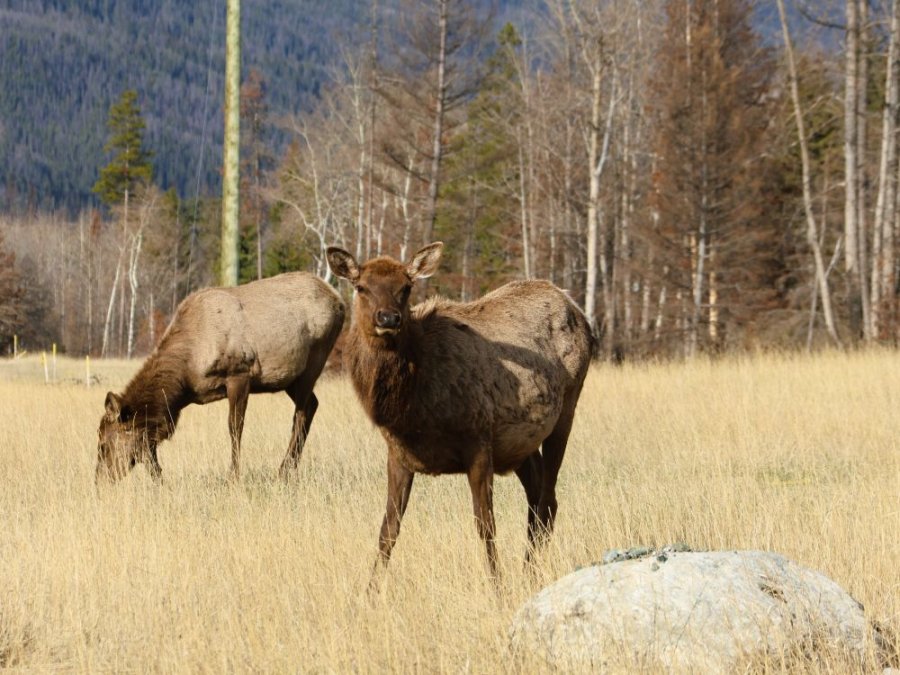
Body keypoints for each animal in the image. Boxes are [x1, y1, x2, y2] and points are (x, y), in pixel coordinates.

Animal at [95, 272, 345, 484]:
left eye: (103, 445)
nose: (99, 482)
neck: (185, 379)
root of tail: (340, 301)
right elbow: (150, 448)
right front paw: (160, 480)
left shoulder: (239, 373)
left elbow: (235, 429)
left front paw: (233, 477)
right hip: (290, 378)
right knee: (312, 404)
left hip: (314, 360)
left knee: (300, 414)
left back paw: (284, 470)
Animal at [326, 242, 593, 580]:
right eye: (361, 286)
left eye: (406, 287)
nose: (388, 318)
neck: (411, 411)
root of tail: (577, 309)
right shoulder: (398, 454)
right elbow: (388, 529)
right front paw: (370, 589)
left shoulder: (479, 441)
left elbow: (485, 525)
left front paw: (498, 585)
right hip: (521, 442)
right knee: (539, 499)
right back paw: (527, 572)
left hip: (567, 408)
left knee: (546, 502)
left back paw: (529, 574)